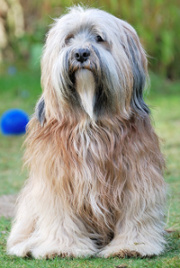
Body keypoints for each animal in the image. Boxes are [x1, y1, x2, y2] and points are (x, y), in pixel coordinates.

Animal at [7, 5, 167, 258]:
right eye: (69, 39)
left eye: (99, 38)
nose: (81, 53)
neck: (90, 123)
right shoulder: (56, 178)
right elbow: (60, 214)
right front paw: (62, 247)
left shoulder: (138, 173)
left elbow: (137, 208)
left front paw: (133, 245)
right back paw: (25, 245)